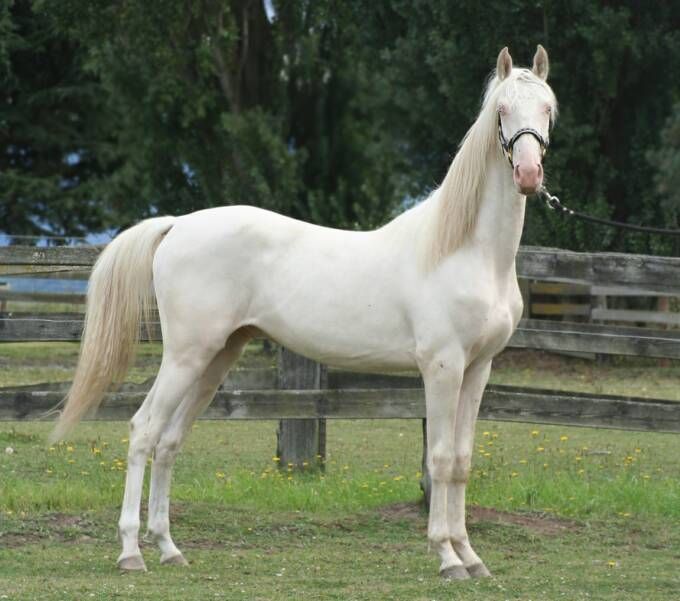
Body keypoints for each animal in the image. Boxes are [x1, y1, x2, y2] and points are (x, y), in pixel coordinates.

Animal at [51, 45, 557, 579]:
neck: (466, 251)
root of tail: (178, 225)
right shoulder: (443, 367)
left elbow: (460, 460)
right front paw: (445, 555)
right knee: (143, 431)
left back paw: (168, 547)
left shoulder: (478, 368)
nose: (528, 176)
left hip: (216, 360)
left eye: (547, 108)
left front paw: (470, 556)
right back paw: (131, 552)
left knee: (169, 441)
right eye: (502, 110)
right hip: (185, 357)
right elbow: (439, 459)